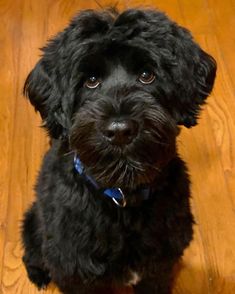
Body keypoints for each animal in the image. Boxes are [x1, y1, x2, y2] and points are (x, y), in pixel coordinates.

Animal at [22, 8, 217, 292]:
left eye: (147, 75)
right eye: (91, 81)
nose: (120, 130)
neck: (122, 196)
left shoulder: (158, 269)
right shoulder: (77, 274)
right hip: (34, 223)